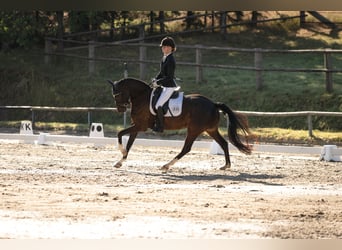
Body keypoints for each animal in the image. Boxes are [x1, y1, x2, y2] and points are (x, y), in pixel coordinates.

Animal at [108, 77, 252, 172]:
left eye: (117, 94)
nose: (120, 109)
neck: (142, 97)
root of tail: (213, 104)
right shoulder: (137, 126)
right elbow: (129, 143)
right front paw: (120, 161)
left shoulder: (141, 126)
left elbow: (120, 133)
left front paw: (121, 152)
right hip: (210, 129)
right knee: (223, 143)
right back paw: (226, 165)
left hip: (194, 129)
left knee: (186, 148)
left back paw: (166, 165)